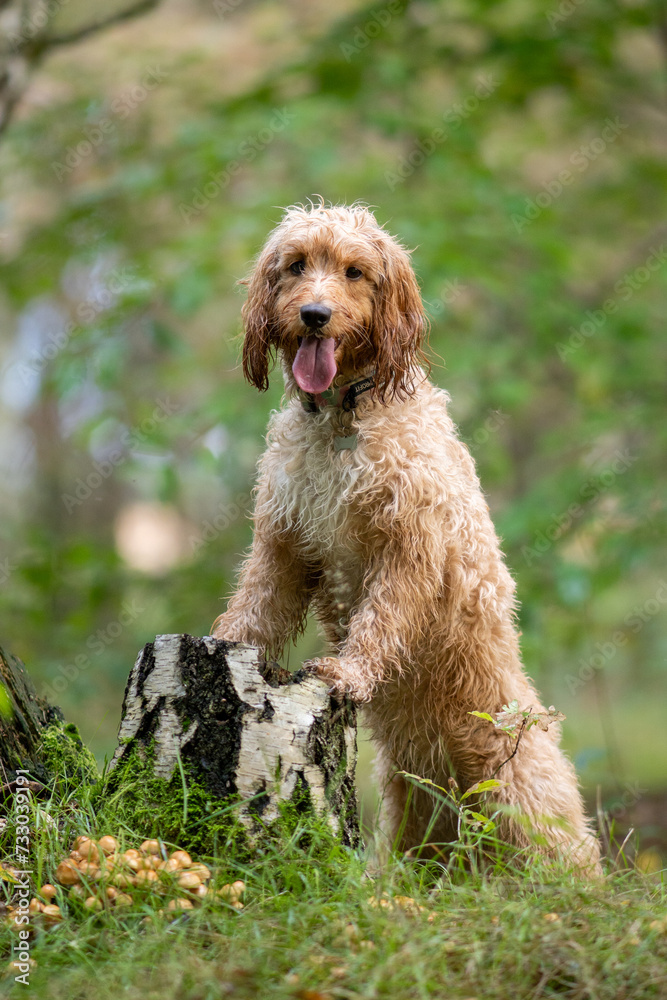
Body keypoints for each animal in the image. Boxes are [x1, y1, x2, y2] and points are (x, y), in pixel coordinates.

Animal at [211, 203, 604, 876]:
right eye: (297, 265)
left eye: (354, 271)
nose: (314, 314)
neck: (343, 419)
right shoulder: (286, 545)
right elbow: (255, 609)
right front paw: (223, 645)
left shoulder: (409, 550)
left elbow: (383, 620)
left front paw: (347, 672)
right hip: (411, 815)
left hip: (524, 795)